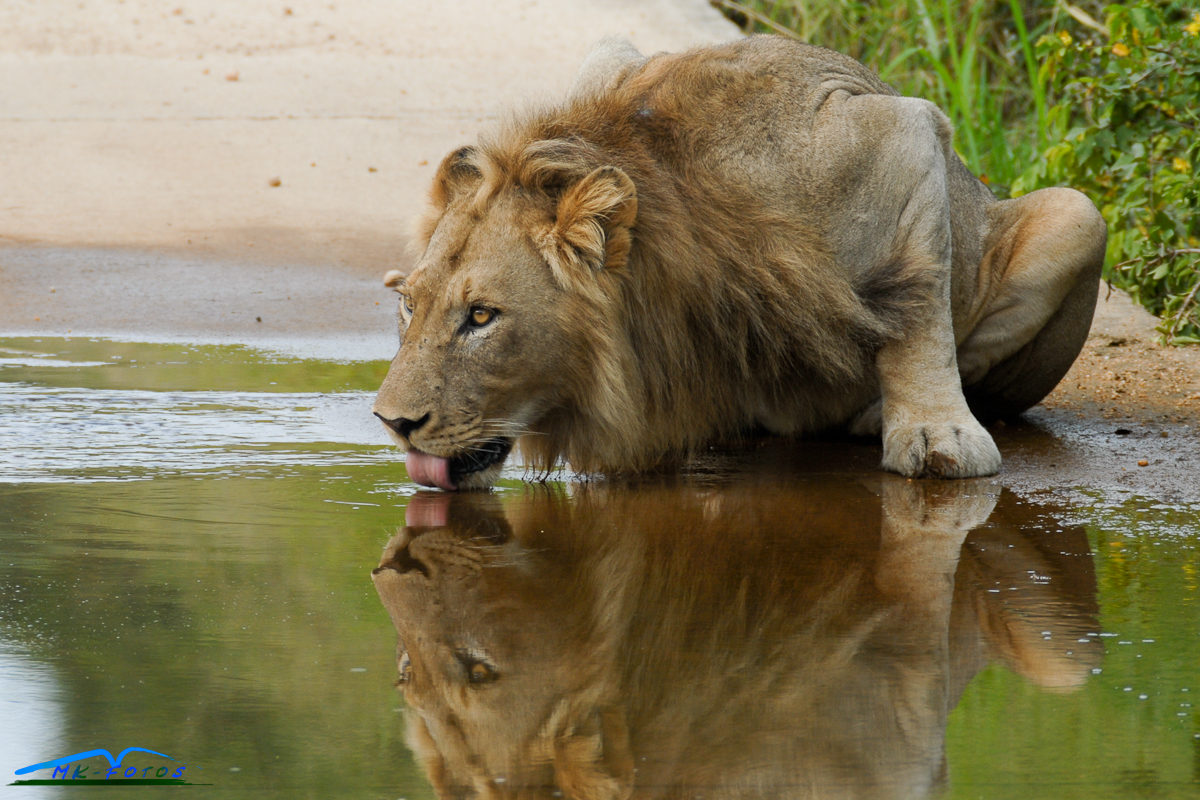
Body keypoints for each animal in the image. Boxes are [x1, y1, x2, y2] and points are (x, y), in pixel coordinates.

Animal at [374, 34, 1104, 491]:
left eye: (481, 316)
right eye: (409, 306)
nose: (393, 424)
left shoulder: (903, 130)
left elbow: (916, 302)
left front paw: (935, 434)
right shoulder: (613, 56)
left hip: (1079, 215)